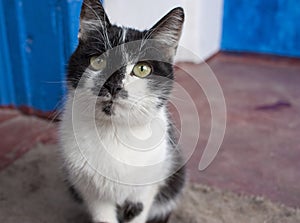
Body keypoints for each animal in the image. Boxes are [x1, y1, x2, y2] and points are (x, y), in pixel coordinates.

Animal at [59, 0, 185, 223]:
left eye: (142, 69)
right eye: (98, 61)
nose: (113, 85)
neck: (114, 132)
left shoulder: (149, 184)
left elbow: (138, 210)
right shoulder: (88, 187)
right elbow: (103, 215)